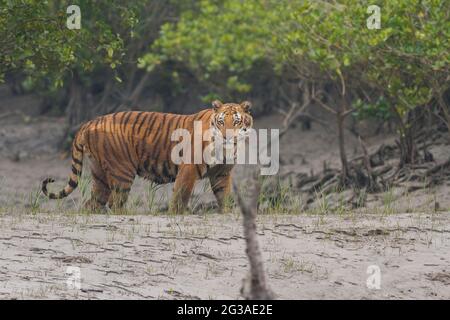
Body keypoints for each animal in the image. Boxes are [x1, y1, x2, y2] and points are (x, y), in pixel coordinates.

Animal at [41, 100, 253, 214]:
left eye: (236, 122)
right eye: (221, 122)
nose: (227, 136)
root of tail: (89, 122)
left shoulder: (221, 174)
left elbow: (225, 197)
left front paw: (227, 213)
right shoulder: (189, 168)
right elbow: (181, 196)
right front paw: (176, 215)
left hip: (99, 175)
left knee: (92, 203)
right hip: (122, 171)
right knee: (115, 203)